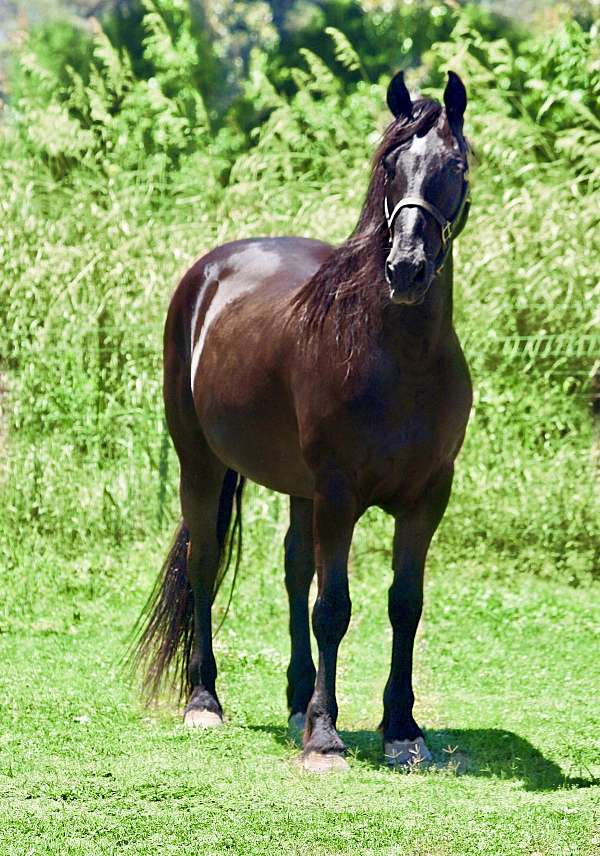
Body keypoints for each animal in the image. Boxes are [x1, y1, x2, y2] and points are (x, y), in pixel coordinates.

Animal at [134, 70, 473, 772]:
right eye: (391, 167)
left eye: (454, 165)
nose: (405, 269)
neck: (398, 359)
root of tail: (208, 273)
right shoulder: (340, 495)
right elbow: (334, 608)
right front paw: (325, 737)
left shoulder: (428, 497)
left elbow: (404, 605)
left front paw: (402, 729)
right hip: (201, 465)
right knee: (206, 564)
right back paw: (205, 701)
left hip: (299, 490)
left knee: (294, 572)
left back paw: (294, 701)